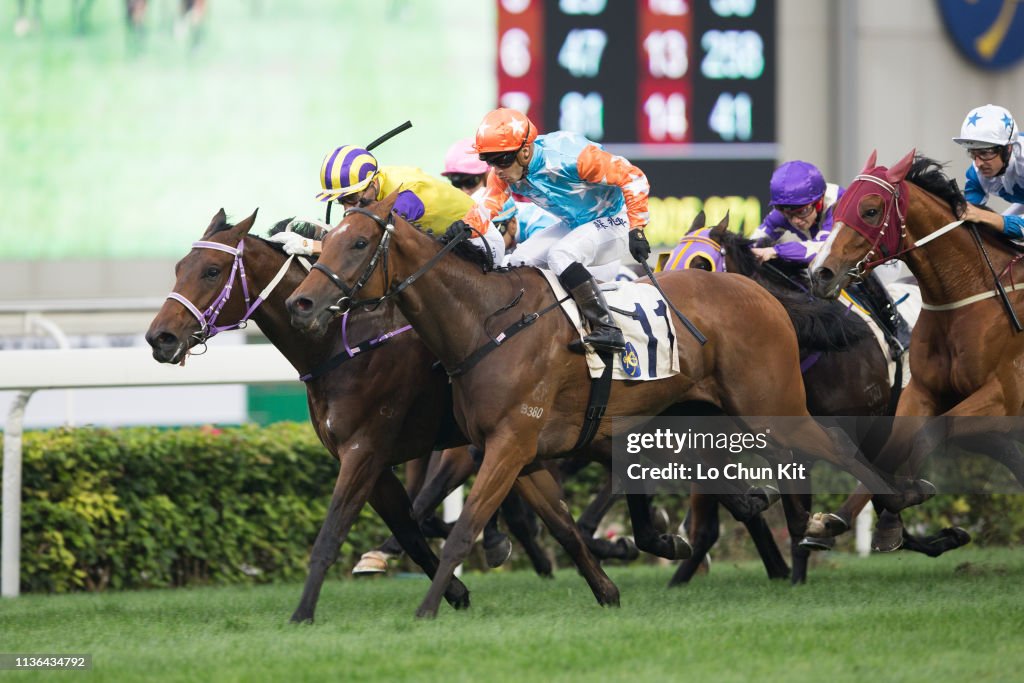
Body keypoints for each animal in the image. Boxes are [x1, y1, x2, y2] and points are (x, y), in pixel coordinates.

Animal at [286, 193, 905, 618]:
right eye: (327, 239)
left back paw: (879, 513)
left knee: (840, 447)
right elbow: (560, 526)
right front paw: (610, 584)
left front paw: (426, 608)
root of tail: (763, 294)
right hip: (702, 415)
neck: (486, 322)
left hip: (770, 405)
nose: (302, 302)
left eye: (358, 244)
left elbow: (464, 530)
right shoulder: (515, 451)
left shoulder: (507, 444)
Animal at [806, 152, 1024, 548]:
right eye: (838, 209)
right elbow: (891, 447)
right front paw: (841, 518)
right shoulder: (920, 392)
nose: (820, 274)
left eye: (871, 210)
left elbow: (931, 432)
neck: (968, 295)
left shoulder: (1004, 399)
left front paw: (909, 493)